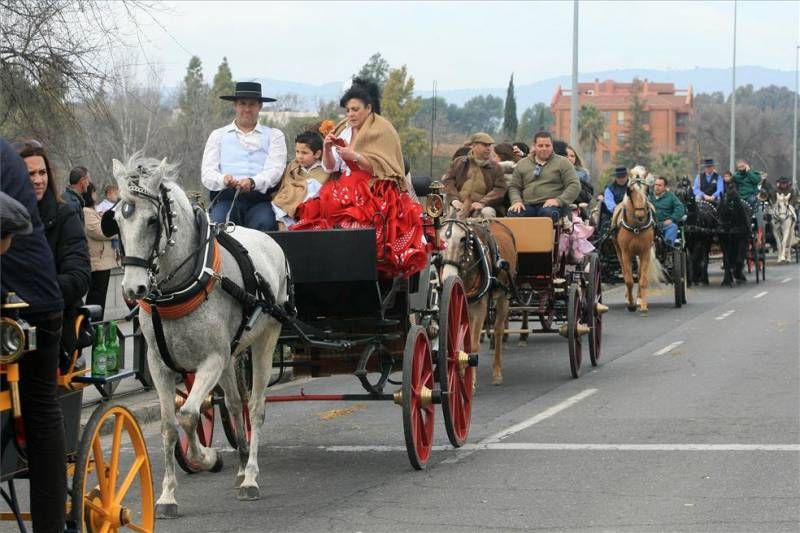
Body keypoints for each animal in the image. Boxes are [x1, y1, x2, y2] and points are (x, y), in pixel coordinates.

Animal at [109, 154, 288, 516]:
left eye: (153, 221)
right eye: (117, 220)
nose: (133, 289)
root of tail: (270, 242)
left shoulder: (212, 361)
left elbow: (189, 415)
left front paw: (206, 457)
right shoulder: (160, 365)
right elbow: (169, 426)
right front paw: (167, 495)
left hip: (265, 340)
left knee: (256, 406)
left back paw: (250, 476)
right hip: (233, 354)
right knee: (235, 404)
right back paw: (241, 464)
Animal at [438, 214, 520, 384]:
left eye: (463, 239)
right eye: (440, 239)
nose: (448, 276)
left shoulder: (479, 309)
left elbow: (473, 345)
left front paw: (471, 378)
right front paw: (462, 372)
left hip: (504, 296)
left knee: (498, 330)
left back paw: (497, 372)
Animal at [612, 166, 664, 312]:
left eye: (647, 190)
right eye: (630, 190)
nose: (640, 213)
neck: (636, 227)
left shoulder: (645, 252)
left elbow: (643, 279)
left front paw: (643, 304)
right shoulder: (626, 253)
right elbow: (629, 280)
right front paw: (630, 304)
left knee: (640, 274)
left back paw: (640, 299)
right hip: (619, 252)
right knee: (625, 273)